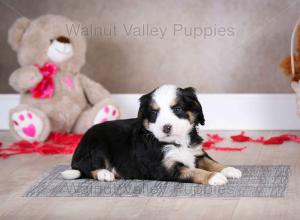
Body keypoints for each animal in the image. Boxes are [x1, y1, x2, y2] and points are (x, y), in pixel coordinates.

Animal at [62, 85, 243, 185]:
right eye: (154, 113)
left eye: (177, 109)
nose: (166, 128)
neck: (177, 141)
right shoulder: (167, 168)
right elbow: (195, 172)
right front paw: (215, 177)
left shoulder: (197, 152)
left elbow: (211, 162)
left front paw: (228, 170)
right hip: (96, 146)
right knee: (86, 167)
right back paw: (104, 173)